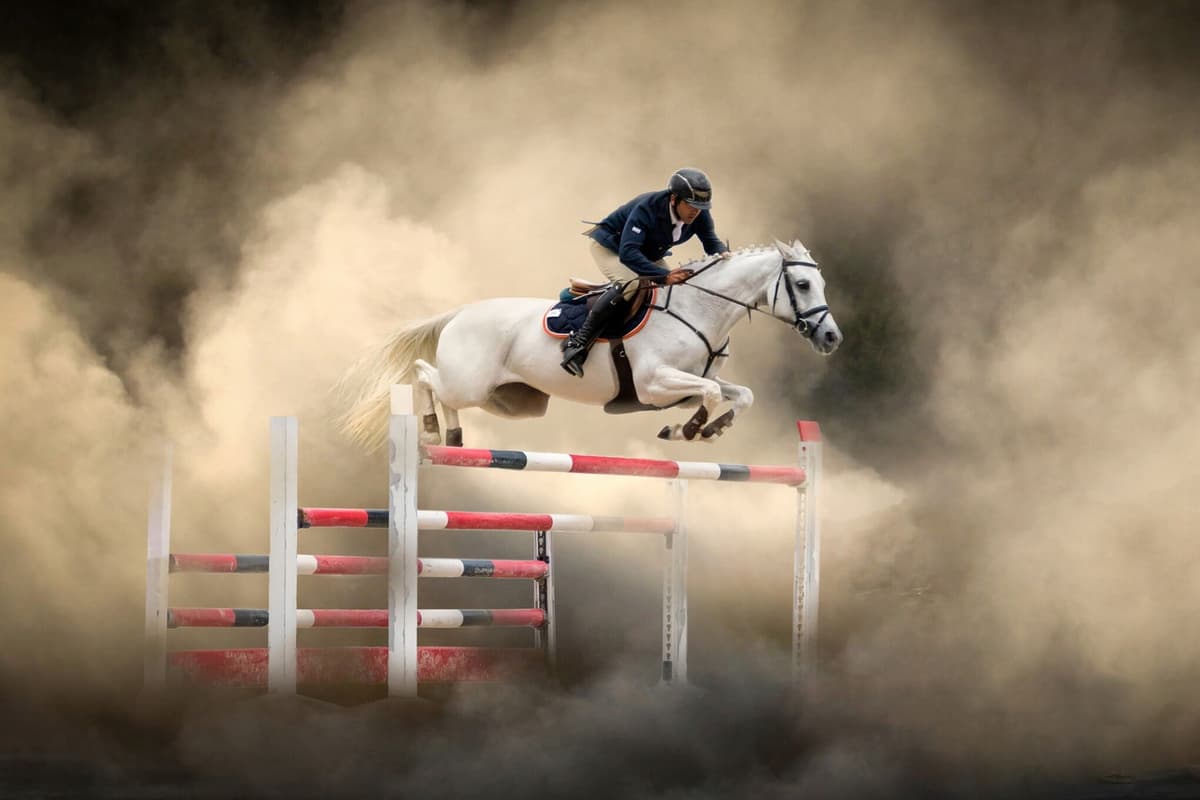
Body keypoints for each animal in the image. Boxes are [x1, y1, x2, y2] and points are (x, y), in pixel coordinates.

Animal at [337, 239, 841, 449]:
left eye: (820, 283)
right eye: (801, 284)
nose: (832, 337)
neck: (700, 308)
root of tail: (461, 313)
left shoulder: (678, 390)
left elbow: (738, 394)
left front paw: (708, 429)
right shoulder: (655, 385)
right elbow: (713, 393)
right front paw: (691, 429)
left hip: (510, 402)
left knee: (443, 391)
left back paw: (453, 438)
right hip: (470, 382)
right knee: (425, 375)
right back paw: (428, 430)